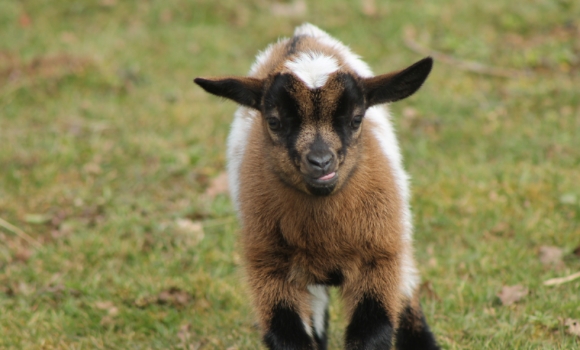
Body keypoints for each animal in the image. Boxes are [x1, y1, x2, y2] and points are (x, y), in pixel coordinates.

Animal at [196, 23, 440, 348]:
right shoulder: (270, 269)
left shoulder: (379, 259)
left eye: (356, 119)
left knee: (408, 293)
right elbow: (288, 336)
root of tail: (302, 35)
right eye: (273, 122)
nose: (321, 162)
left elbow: (373, 332)